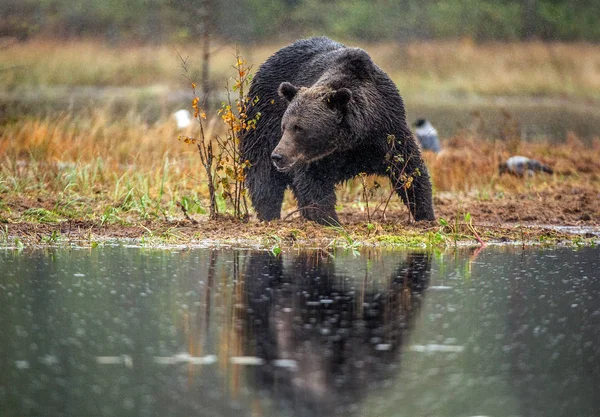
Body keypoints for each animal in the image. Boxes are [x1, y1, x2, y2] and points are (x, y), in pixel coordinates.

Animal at [241, 36, 434, 224]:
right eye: (285, 126)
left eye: (299, 128)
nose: (278, 156)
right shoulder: (317, 158)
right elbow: (314, 184)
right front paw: (329, 218)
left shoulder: (388, 129)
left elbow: (409, 169)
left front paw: (425, 215)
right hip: (262, 118)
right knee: (263, 174)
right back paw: (269, 215)